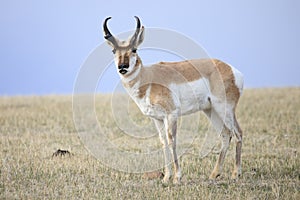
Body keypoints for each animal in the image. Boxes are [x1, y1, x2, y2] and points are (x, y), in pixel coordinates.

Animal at [103, 16, 244, 184]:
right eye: (113, 50)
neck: (148, 77)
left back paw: (235, 174)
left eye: (134, 49)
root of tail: (232, 69)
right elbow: (163, 143)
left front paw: (177, 177)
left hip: (224, 109)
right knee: (225, 134)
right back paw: (214, 174)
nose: (122, 67)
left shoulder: (171, 115)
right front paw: (166, 177)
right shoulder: (157, 119)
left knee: (238, 133)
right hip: (211, 111)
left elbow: (172, 141)